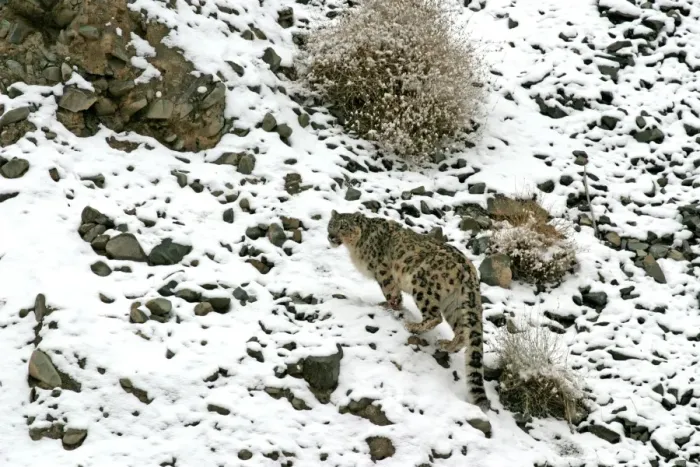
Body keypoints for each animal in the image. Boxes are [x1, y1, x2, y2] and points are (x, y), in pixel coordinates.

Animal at [327, 209, 490, 412]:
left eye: (343, 226)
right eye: (331, 224)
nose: (331, 236)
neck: (355, 247)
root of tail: (469, 268)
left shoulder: (383, 271)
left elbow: (392, 293)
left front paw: (389, 306)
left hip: (422, 284)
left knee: (435, 316)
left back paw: (413, 326)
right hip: (455, 303)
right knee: (462, 331)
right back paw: (446, 345)